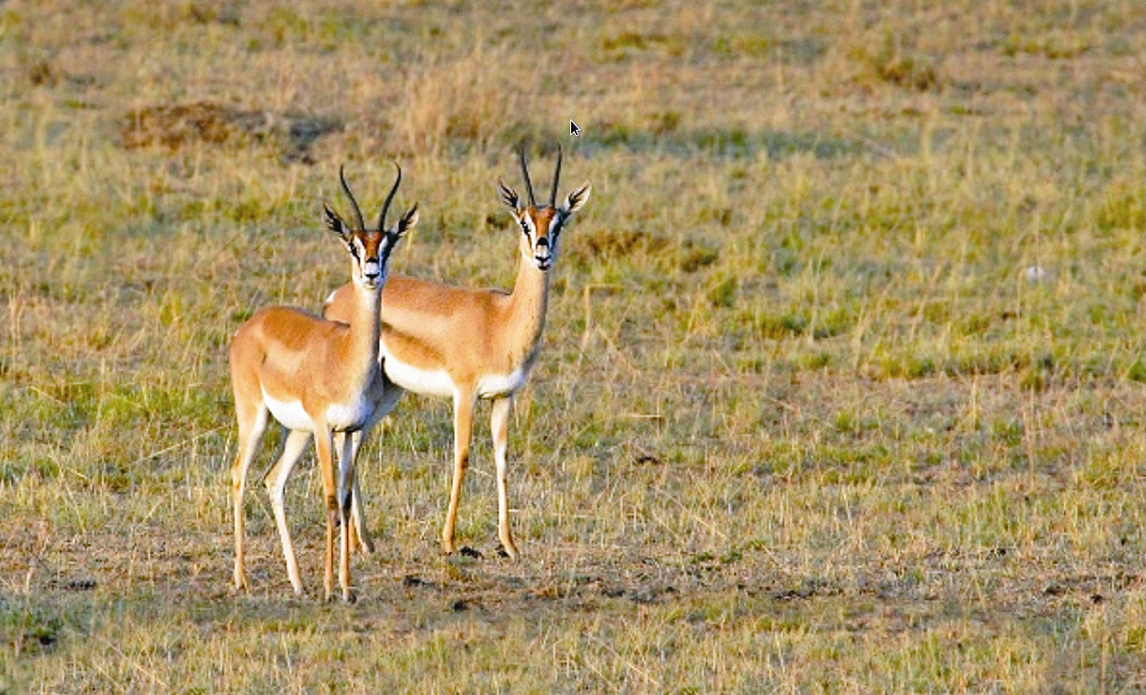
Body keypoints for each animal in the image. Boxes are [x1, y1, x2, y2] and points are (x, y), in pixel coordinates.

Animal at [228, 163, 417, 602]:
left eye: (387, 245)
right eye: (352, 245)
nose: (371, 272)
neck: (345, 357)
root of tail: (251, 325)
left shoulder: (350, 430)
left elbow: (345, 502)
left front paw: (346, 587)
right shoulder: (323, 427)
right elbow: (331, 499)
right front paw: (331, 587)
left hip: (294, 432)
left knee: (273, 481)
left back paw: (298, 582)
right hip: (257, 419)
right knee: (239, 476)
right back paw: (242, 579)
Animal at [323, 146, 590, 559]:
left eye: (558, 223)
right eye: (525, 223)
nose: (542, 253)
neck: (501, 320)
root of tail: (337, 296)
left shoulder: (504, 397)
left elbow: (502, 460)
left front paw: (509, 543)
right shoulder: (465, 394)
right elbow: (462, 456)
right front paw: (449, 540)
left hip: (388, 392)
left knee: (355, 445)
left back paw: (365, 541)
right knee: (343, 444)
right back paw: (356, 541)